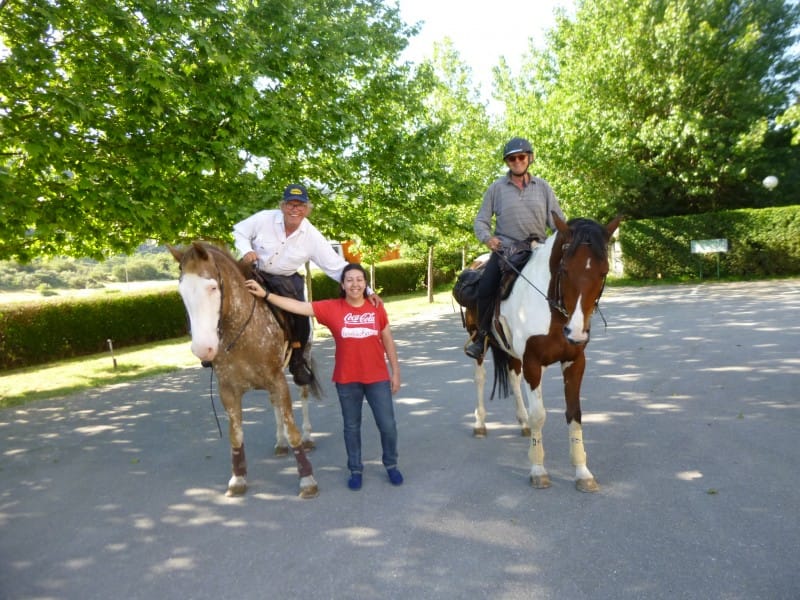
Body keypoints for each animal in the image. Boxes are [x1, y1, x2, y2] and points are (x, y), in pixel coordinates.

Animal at [170, 241, 318, 500]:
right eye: (182, 292)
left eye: (212, 287)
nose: (203, 349)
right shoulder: (228, 391)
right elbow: (236, 435)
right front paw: (238, 478)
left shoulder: (277, 380)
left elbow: (293, 430)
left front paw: (307, 479)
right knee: (274, 404)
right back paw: (280, 443)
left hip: (302, 360)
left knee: (303, 394)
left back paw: (308, 437)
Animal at [462, 214, 620, 492]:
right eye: (565, 269)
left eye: (603, 272)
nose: (576, 332)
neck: (554, 312)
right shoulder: (533, 363)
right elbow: (539, 416)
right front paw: (538, 469)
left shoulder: (574, 362)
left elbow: (574, 414)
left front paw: (582, 472)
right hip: (479, 340)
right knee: (480, 378)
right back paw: (480, 424)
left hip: (512, 352)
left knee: (513, 378)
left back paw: (522, 422)